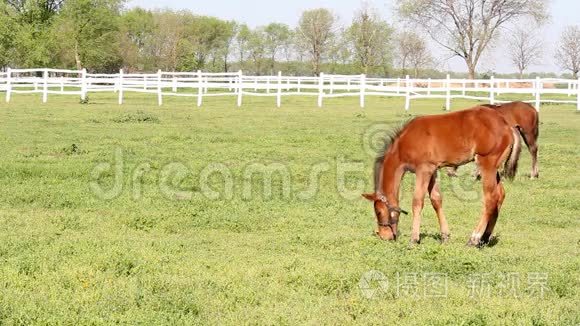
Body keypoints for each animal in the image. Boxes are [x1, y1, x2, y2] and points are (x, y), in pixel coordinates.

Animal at [362, 105, 520, 246]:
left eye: (379, 212)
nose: (384, 236)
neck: (404, 144)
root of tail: (507, 126)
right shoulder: (433, 170)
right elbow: (436, 200)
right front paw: (445, 236)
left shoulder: (423, 170)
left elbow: (417, 202)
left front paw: (414, 239)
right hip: (495, 168)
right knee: (500, 195)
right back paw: (485, 238)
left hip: (487, 163)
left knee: (490, 199)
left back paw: (474, 239)